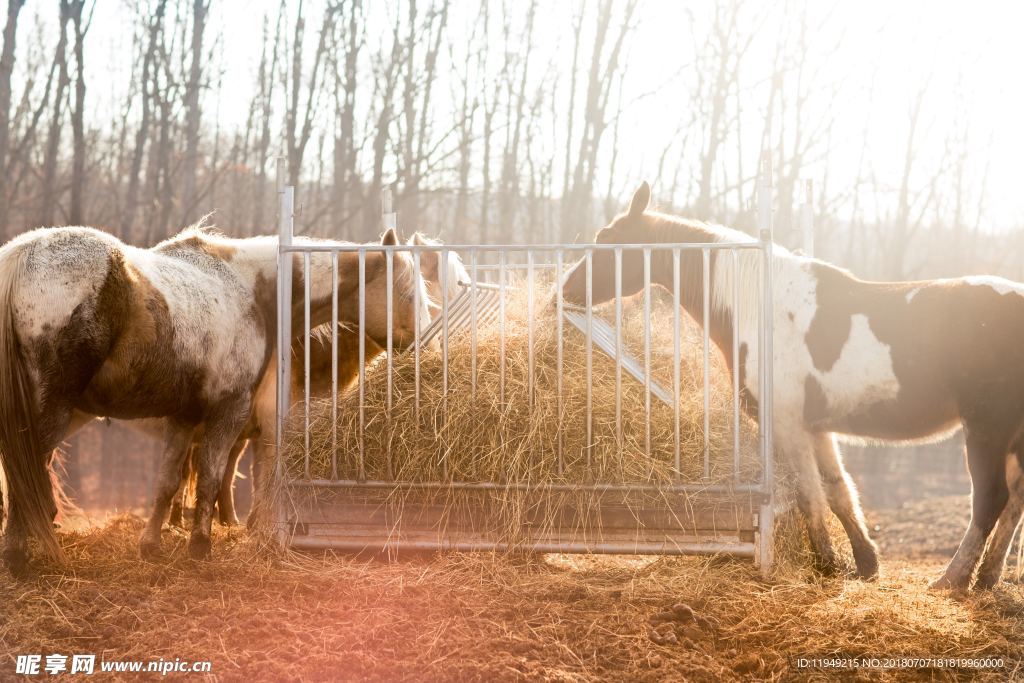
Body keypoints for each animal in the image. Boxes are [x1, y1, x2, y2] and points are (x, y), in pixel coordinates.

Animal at [0, 224, 425, 573]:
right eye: (407, 294)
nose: (422, 346)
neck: (252, 290)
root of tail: (22, 256)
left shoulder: (185, 417)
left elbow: (168, 481)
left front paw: (151, 544)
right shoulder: (229, 412)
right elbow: (211, 477)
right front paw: (201, 545)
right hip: (54, 411)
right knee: (26, 474)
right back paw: (19, 553)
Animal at [565, 181, 1024, 593]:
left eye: (606, 240)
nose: (566, 289)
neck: (760, 308)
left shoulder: (788, 425)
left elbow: (809, 496)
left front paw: (826, 563)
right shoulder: (817, 428)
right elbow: (839, 492)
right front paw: (865, 563)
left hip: (986, 429)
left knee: (990, 500)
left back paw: (953, 579)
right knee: (1015, 500)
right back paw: (987, 578)